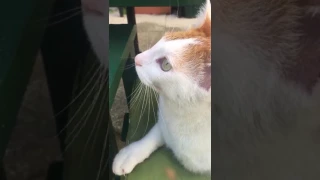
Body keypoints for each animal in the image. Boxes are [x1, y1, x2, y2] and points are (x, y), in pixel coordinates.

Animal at [111, 0, 211, 176]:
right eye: (162, 40)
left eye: (165, 65)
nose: (137, 57)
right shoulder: (165, 121)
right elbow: (153, 135)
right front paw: (130, 153)